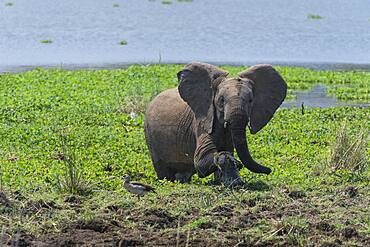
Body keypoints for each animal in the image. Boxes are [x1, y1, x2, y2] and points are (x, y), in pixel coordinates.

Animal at [144, 61, 286, 185]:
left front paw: (224, 180)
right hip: (150, 136)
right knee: (162, 170)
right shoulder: (202, 122)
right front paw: (234, 171)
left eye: (251, 100)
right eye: (221, 100)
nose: (269, 170)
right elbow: (200, 162)